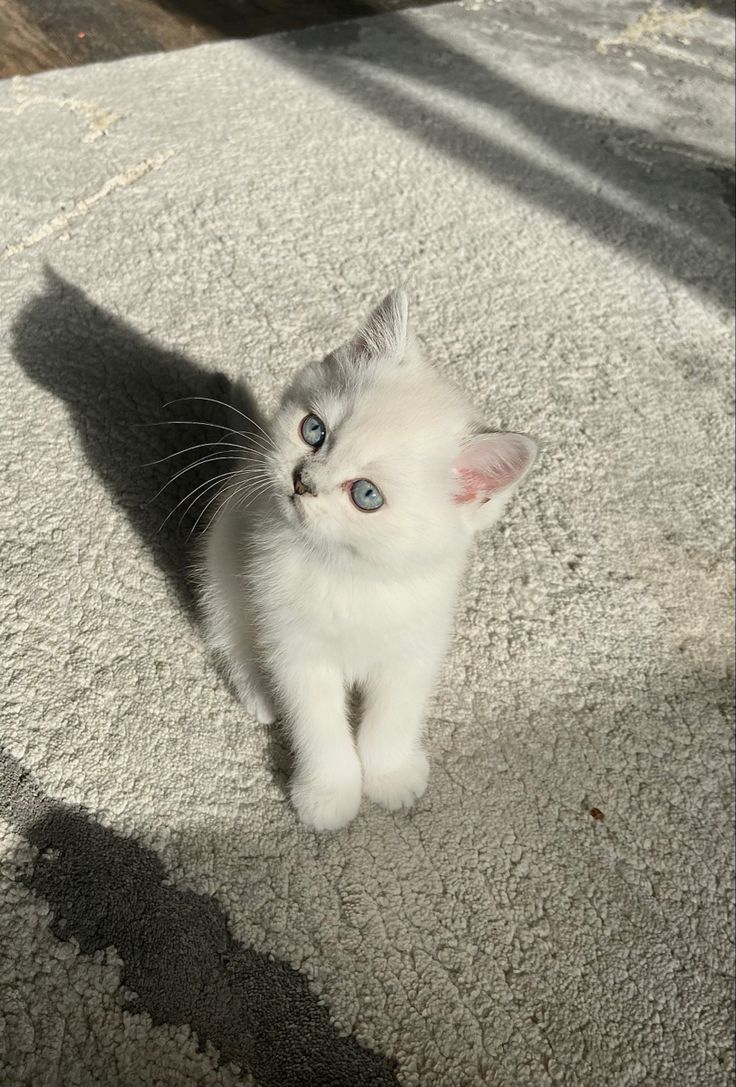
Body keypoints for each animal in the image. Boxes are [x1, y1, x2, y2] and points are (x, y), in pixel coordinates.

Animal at [197, 291, 537, 830]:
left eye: (367, 495)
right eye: (313, 430)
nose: (303, 482)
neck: (351, 574)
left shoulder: (415, 644)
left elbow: (392, 716)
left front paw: (390, 775)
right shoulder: (297, 649)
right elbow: (318, 727)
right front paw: (330, 794)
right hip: (221, 568)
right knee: (231, 638)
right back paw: (261, 695)